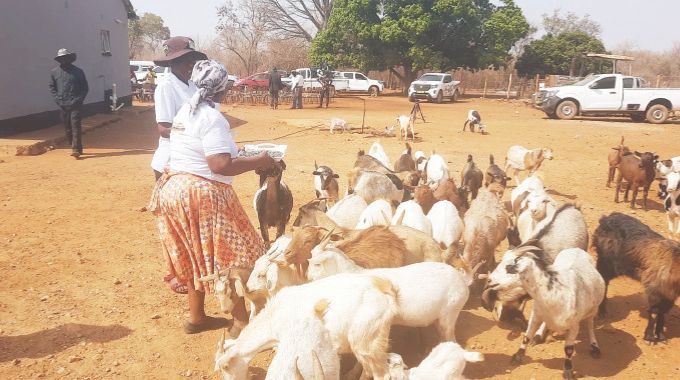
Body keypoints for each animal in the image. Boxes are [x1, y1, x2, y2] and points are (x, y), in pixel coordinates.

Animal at [504, 246, 604, 380]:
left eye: (509, 270)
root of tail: (576, 249)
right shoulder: (536, 315)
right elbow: (526, 337)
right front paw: (517, 357)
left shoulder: (574, 326)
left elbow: (569, 349)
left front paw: (568, 371)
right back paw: (538, 336)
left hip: (593, 309)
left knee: (590, 324)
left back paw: (594, 347)